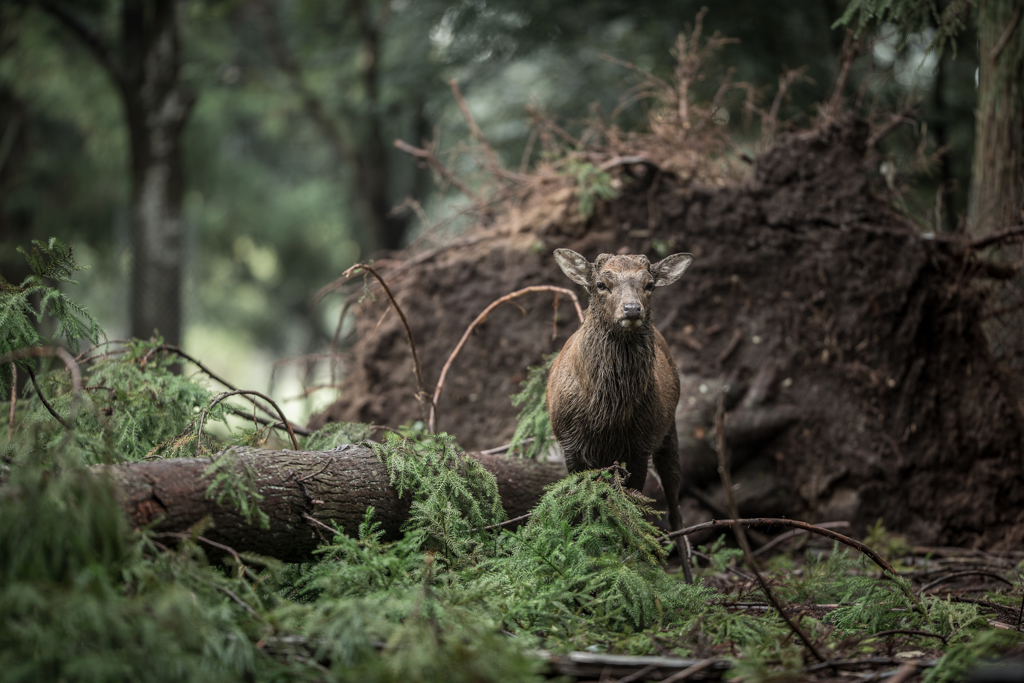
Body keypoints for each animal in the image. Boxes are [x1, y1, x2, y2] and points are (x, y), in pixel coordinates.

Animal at [544, 249, 696, 532]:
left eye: (650, 284)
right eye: (601, 284)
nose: (632, 308)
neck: (607, 418)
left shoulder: (639, 447)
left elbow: (629, 511)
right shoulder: (570, 445)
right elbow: (585, 507)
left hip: (668, 429)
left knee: (674, 505)